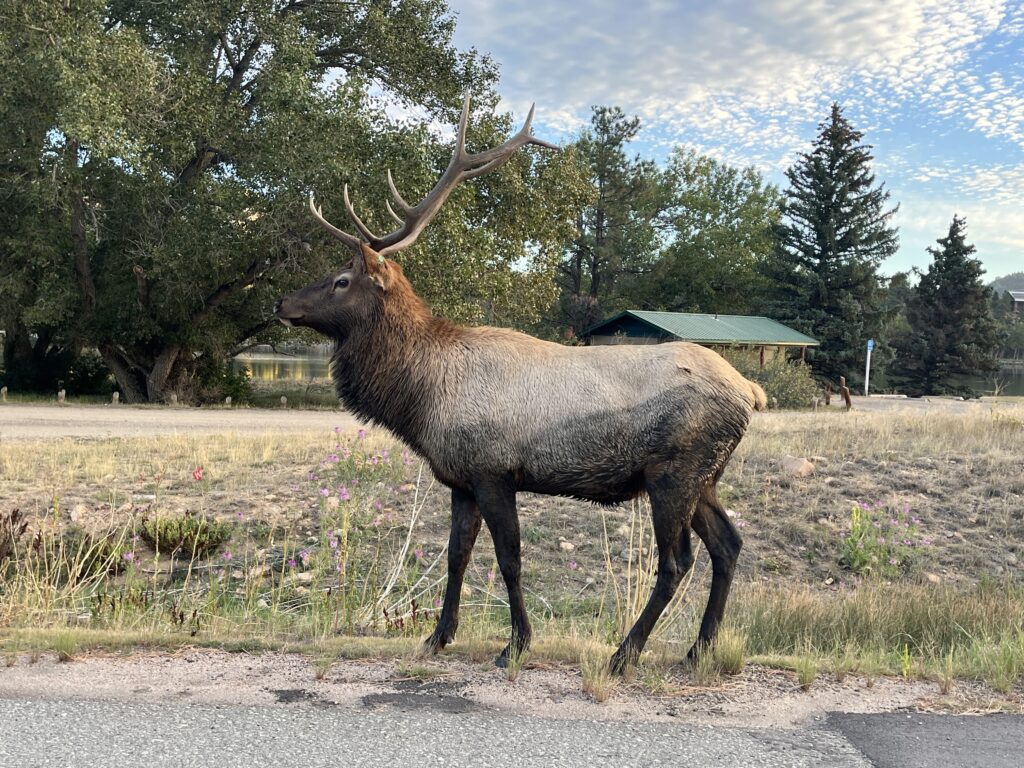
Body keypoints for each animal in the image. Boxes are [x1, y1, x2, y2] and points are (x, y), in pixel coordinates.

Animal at [274, 96, 767, 673]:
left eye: (341, 281)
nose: (282, 301)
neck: (422, 399)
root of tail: (751, 392)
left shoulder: (494, 471)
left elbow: (509, 559)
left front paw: (515, 644)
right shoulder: (461, 479)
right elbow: (457, 556)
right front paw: (437, 636)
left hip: (673, 472)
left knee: (676, 562)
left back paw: (625, 653)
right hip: (704, 477)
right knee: (728, 545)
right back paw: (698, 649)